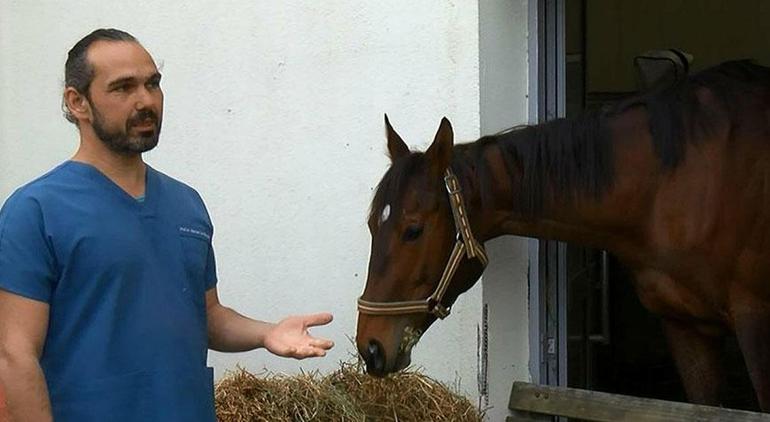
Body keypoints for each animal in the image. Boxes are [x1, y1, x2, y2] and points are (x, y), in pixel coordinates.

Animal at [356, 59, 768, 408]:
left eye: (413, 230)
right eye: (373, 224)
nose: (370, 347)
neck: (679, 184)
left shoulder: (755, 324)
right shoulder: (685, 328)